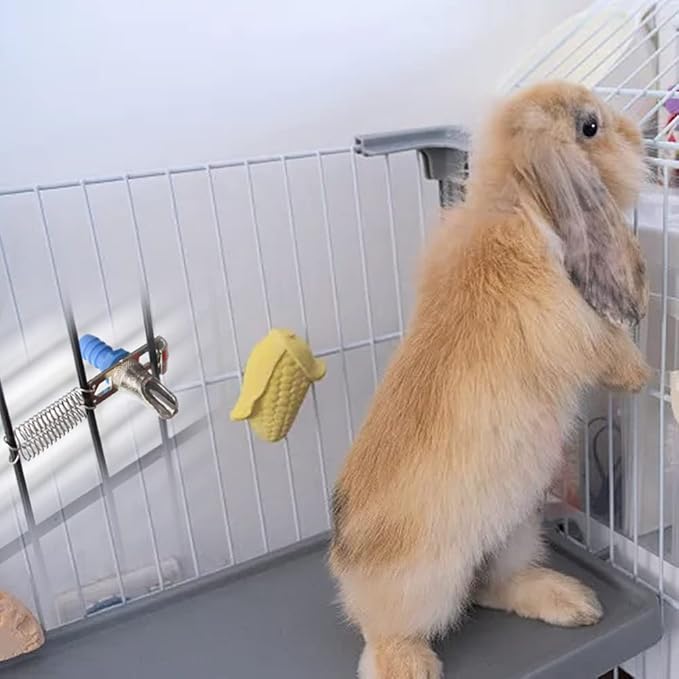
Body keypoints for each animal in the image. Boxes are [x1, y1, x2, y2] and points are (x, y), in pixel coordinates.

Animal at [329, 80, 651, 679]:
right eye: (590, 127)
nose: (638, 135)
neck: (521, 200)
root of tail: (346, 567)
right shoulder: (571, 324)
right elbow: (607, 347)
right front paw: (642, 376)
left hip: (515, 534)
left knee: (491, 588)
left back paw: (574, 602)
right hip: (424, 583)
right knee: (389, 631)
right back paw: (411, 666)